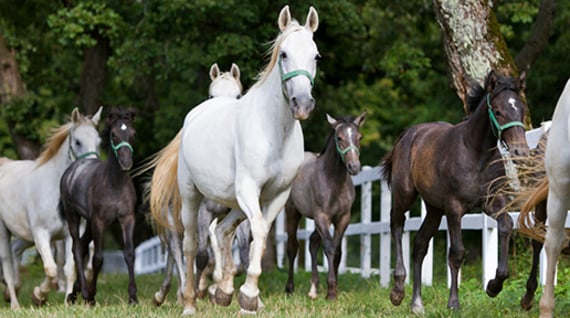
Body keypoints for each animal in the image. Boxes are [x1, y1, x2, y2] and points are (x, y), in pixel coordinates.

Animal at [0, 107, 100, 308]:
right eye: (78, 141)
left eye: (98, 141)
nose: (90, 171)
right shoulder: (41, 234)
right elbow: (51, 269)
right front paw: (39, 295)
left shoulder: (71, 235)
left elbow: (69, 268)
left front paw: (67, 300)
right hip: (4, 233)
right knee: (7, 262)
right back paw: (14, 303)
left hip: (24, 236)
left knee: (15, 251)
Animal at [59, 108, 137, 304]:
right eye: (113, 134)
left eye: (133, 133)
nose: (126, 163)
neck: (114, 184)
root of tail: (74, 168)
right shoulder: (99, 221)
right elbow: (98, 258)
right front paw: (92, 295)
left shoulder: (127, 219)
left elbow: (129, 253)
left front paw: (133, 297)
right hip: (74, 216)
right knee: (77, 248)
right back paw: (83, 293)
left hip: (88, 222)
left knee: (82, 245)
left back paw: (75, 292)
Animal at [149, 6, 318, 314]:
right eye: (284, 54)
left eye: (316, 56)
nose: (302, 104)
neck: (273, 131)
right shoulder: (248, 189)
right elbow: (257, 232)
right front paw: (248, 295)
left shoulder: (277, 195)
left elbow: (256, 238)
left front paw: (245, 297)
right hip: (192, 197)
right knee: (190, 244)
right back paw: (189, 301)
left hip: (235, 203)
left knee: (223, 231)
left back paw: (224, 291)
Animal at [282, 112, 364, 300]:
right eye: (339, 137)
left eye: (359, 137)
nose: (354, 167)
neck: (334, 182)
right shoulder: (322, 217)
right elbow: (329, 248)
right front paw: (331, 291)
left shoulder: (343, 218)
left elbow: (338, 251)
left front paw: (333, 289)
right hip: (293, 212)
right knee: (292, 247)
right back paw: (289, 288)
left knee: (312, 242)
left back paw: (313, 289)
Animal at [380, 70, 524, 314]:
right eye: (498, 111)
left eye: (521, 108)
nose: (519, 150)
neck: (476, 154)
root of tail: (408, 134)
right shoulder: (454, 207)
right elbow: (457, 253)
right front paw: (454, 303)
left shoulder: (492, 202)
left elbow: (506, 224)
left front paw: (493, 286)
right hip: (405, 195)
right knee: (397, 225)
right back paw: (398, 291)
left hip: (434, 209)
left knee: (420, 243)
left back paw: (416, 304)